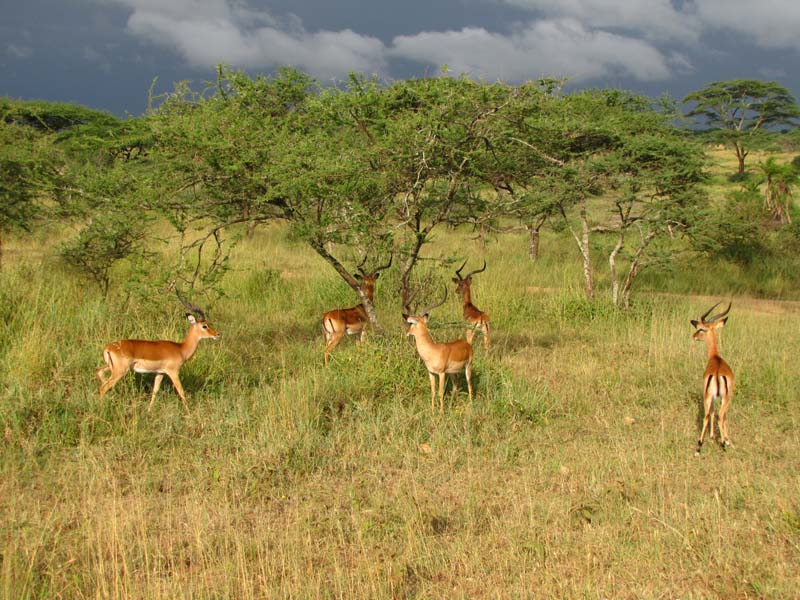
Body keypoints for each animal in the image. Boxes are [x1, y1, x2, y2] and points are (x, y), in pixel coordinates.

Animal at [691, 302, 734, 454]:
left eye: (702, 329)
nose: (694, 336)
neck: (715, 357)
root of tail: (716, 373)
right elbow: (721, 416)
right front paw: (726, 440)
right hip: (720, 398)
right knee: (718, 416)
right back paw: (721, 443)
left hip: (708, 396)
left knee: (707, 415)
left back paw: (699, 447)